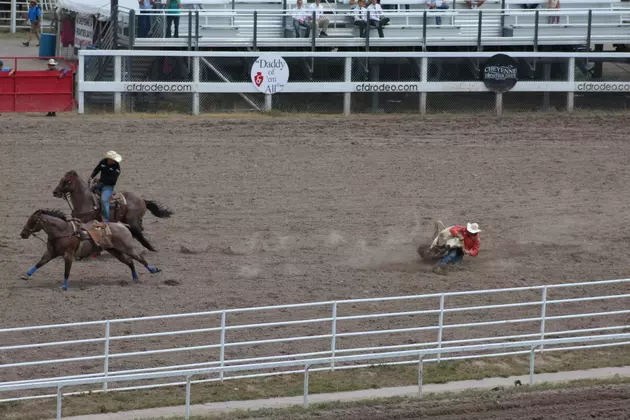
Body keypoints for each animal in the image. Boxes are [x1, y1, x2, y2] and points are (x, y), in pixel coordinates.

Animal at [21, 208, 162, 290]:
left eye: (33, 220)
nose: (23, 234)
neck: (63, 231)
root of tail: (122, 225)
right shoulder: (51, 252)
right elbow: (40, 263)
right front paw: (26, 275)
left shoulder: (68, 255)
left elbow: (66, 271)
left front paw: (64, 286)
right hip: (115, 251)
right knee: (130, 262)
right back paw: (135, 278)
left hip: (127, 248)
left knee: (139, 258)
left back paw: (153, 269)